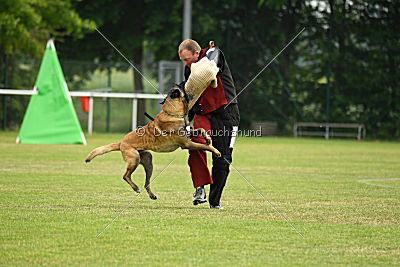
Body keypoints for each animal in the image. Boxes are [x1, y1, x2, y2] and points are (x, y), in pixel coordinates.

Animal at [85, 85, 220, 200]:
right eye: (183, 90)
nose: (192, 90)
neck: (173, 113)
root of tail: (121, 142)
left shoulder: (188, 135)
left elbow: (201, 130)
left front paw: (208, 138)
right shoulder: (187, 144)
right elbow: (204, 146)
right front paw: (216, 151)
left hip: (148, 161)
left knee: (146, 183)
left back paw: (151, 195)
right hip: (134, 159)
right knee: (126, 176)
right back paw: (135, 188)